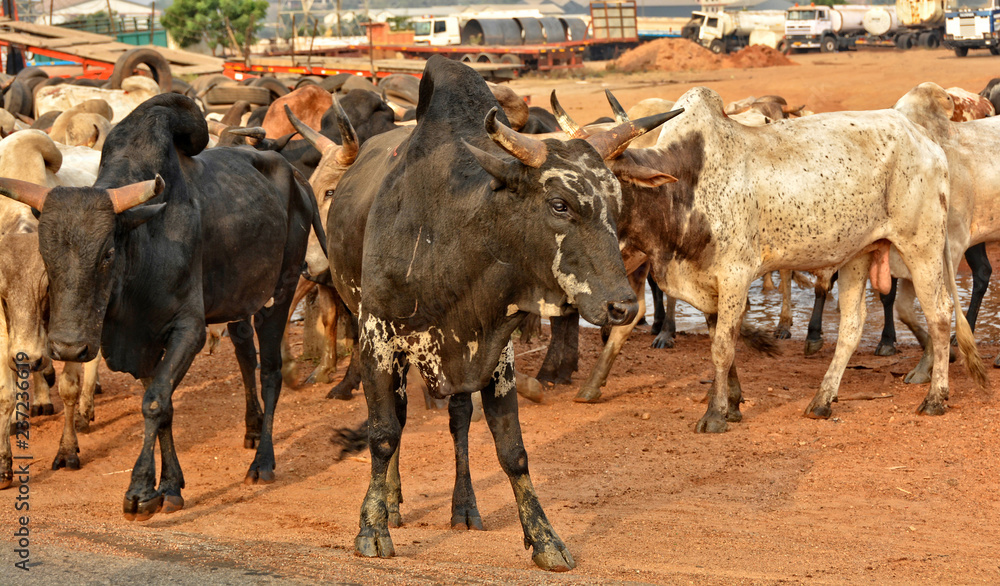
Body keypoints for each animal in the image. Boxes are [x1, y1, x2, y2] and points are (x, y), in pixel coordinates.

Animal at [0, 92, 324, 521]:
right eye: (45, 253)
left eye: (107, 253)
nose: (68, 348)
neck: (143, 244)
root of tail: (295, 175)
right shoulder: (143, 343)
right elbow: (166, 405)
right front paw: (169, 486)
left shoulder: (188, 331)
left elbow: (154, 402)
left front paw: (140, 490)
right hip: (240, 300)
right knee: (245, 355)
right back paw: (252, 430)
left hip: (281, 291)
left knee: (271, 371)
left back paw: (263, 461)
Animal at [325, 56, 676, 571]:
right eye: (559, 204)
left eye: (618, 204)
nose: (623, 305)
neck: (449, 235)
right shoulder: (377, 338)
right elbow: (383, 432)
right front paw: (372, 527)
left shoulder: (494, 352)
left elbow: (512, 450)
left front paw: (545, 538)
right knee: (399, 419)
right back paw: (391, 500)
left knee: (457, 420)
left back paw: (463, 506)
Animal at [561, 87, 986, 426]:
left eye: (603, 181)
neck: (682, 188)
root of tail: (926, 140)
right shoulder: (709, 284)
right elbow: (721, 338)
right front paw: (732, 403)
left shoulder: (735, 274)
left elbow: (722, 345)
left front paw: (715, 414)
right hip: (859, 252)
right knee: (852, 325)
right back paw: (822, 401)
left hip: (923, 245)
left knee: (939, 312)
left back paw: (935, 398)